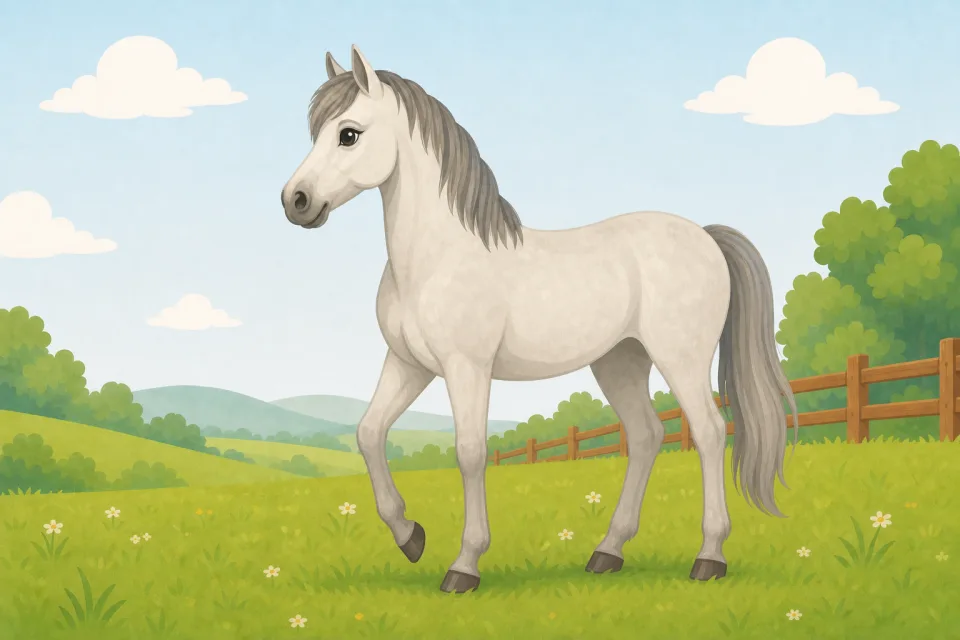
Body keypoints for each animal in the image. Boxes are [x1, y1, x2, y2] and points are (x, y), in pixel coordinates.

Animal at [281, 45, 798, 594]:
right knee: (646, 437)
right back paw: (607, 552)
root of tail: (705, 235)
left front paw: (464, 565)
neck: (434, 259)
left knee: (710, 433)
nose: (295, 201)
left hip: (680, 358)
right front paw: (410, 536)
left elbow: (469, 452)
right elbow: (369, 433)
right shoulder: (409, 364)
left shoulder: (467, 368)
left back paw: (709, 558)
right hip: (620, 361)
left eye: (348, 133)